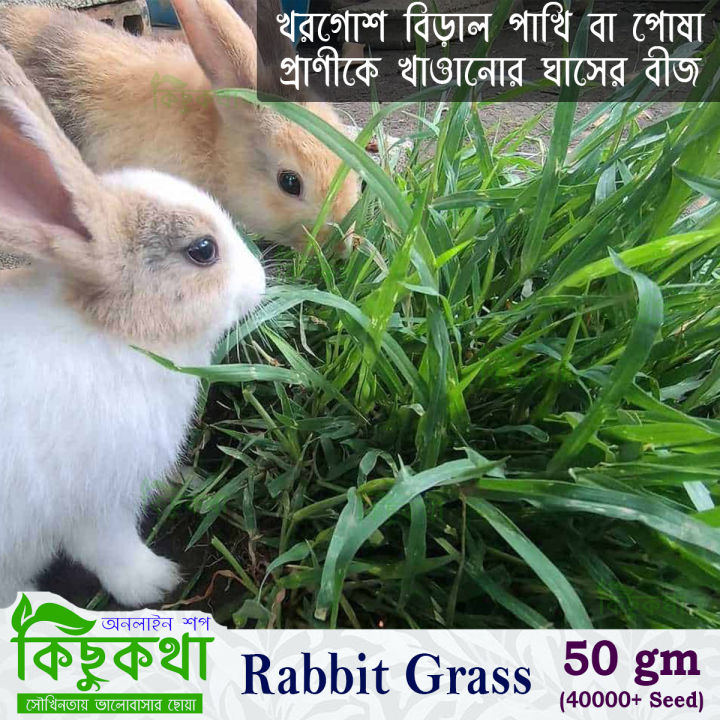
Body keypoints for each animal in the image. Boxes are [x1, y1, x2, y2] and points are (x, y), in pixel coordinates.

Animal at [0, 44, 265, 609]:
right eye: (203, 250)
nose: (259, 282)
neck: (120, 335)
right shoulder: (95, 504)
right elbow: (113, 551)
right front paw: (158, 581)